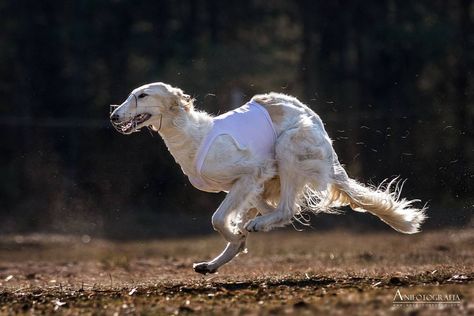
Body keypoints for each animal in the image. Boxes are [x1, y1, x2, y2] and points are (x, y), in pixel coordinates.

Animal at [110, 82, 426, 274]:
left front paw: (239, 233)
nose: (113, 116)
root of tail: (313, 117)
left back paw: (254, 227)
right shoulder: (246, 186)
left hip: (288, 147)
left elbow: (218, 220)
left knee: (287, 209)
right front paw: (238, 238)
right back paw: (214, 262)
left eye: (142, 95)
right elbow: (234, 222)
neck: (194, 137)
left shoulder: (251, 173)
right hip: (274, 177)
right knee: (278, 211)